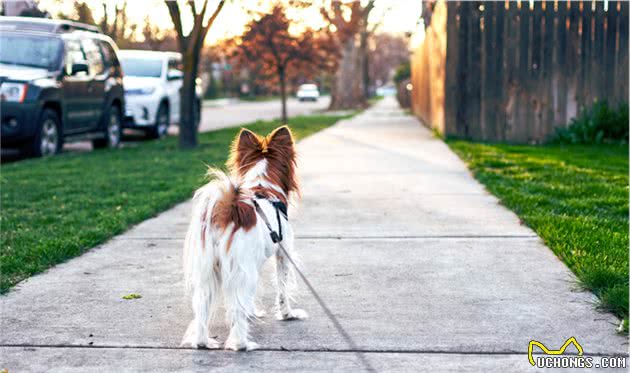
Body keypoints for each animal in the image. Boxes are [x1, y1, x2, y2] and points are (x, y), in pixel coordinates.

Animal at [180, 126, 308, 350]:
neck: (263, 186)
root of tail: (227, 210)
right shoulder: (283, 254)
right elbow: (282, 290)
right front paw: (288, 315)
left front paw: (253, 312)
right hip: (241, 268)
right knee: (237, 309)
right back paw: (242, 344)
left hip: (209, 271)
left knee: (202, 308)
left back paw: (203, 342)